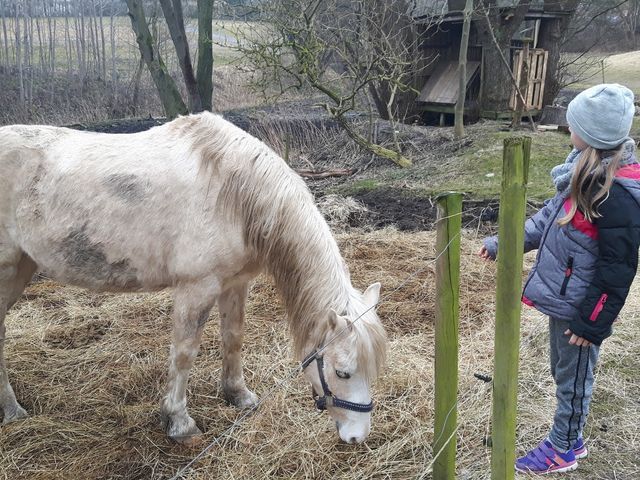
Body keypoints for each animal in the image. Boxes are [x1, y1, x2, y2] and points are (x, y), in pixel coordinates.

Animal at [0, 111, 388, 442]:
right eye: (342, 373)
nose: (358, 436)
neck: (234, 192)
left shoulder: (235, 283)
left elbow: (233, 337)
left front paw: (238, 395)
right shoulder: (197, 288)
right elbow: (184, 353)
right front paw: (178, 422)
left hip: (22, 267)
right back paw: (12, 410)